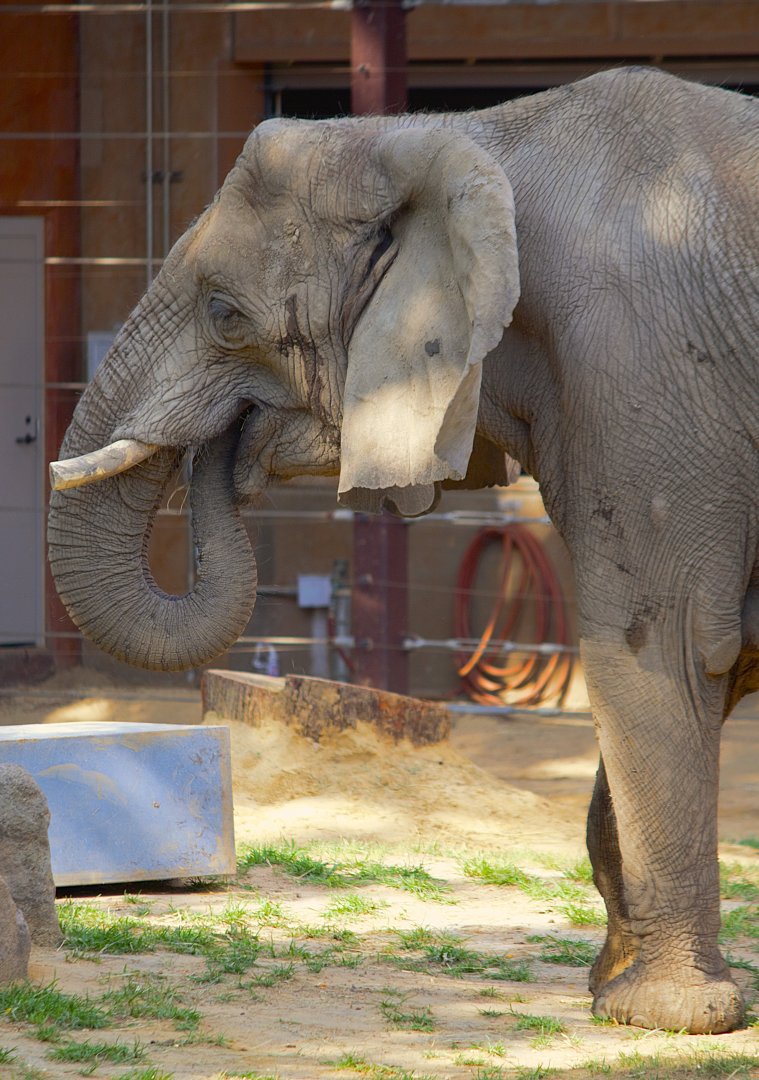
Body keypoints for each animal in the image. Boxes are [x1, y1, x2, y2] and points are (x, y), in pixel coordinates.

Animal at [48, 66, 759, 1034]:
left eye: (225, 315)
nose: (226, 451)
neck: (467, 135)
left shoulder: (645, 363)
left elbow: (668, 644)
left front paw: (657, 1014)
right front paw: (613, 986)